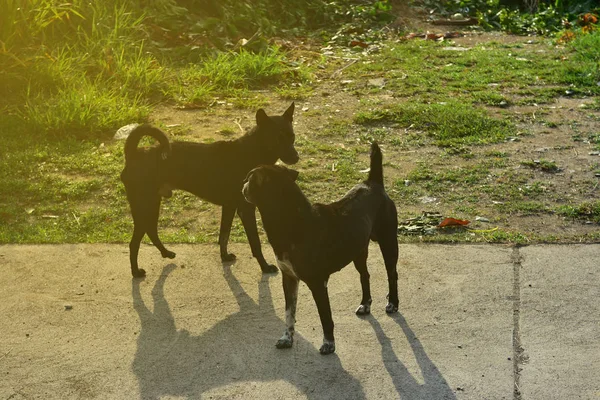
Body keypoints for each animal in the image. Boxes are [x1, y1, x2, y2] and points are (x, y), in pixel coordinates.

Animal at [120, 103, 298, 278]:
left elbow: (224, 235)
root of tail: (133, 154)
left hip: (151, 204)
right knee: (134, 242)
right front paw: (265, 267)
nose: (296, 157)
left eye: (292, 137)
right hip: (144, 205)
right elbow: (255, 242)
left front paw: (224, 256)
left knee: (151, 231)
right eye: (278, 138)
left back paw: (166, 253)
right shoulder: (246, 209)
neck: (251, 151)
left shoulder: (229, 207)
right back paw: (136, 272)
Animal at [244, 141, 398, 354]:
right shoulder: (289, 278)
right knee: (364, 275)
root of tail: (372, 182)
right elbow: (289, 312)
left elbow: (325, 316)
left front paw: (328, 343)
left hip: (388, 242)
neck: (292, 220)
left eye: (249, 178)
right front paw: (287, 338)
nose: (242, 185)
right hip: (358, 250)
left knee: (392, 274)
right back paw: (365, 304)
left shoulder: (318, 283)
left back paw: (393, 302)